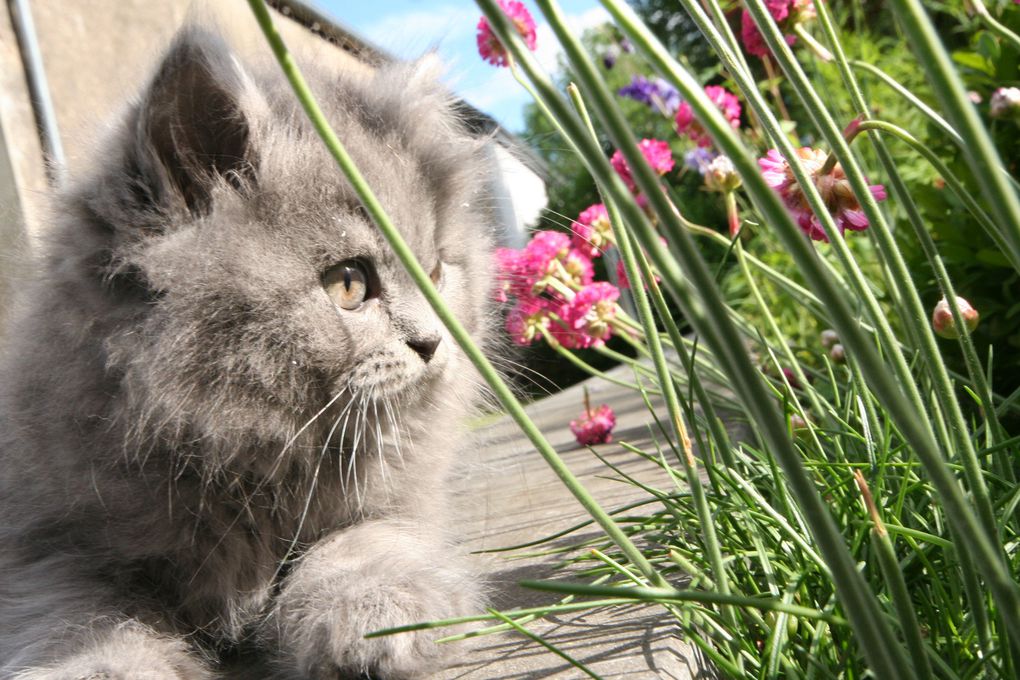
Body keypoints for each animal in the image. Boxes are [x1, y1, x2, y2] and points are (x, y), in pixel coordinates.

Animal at [0, 23, 495, 676]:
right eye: (348, 283)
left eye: (436, 272)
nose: (433, 341)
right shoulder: (40, 542)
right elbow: (76, 615)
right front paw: (103, 664)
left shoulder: (398, 503)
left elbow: (362, 543)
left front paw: (378, 613)